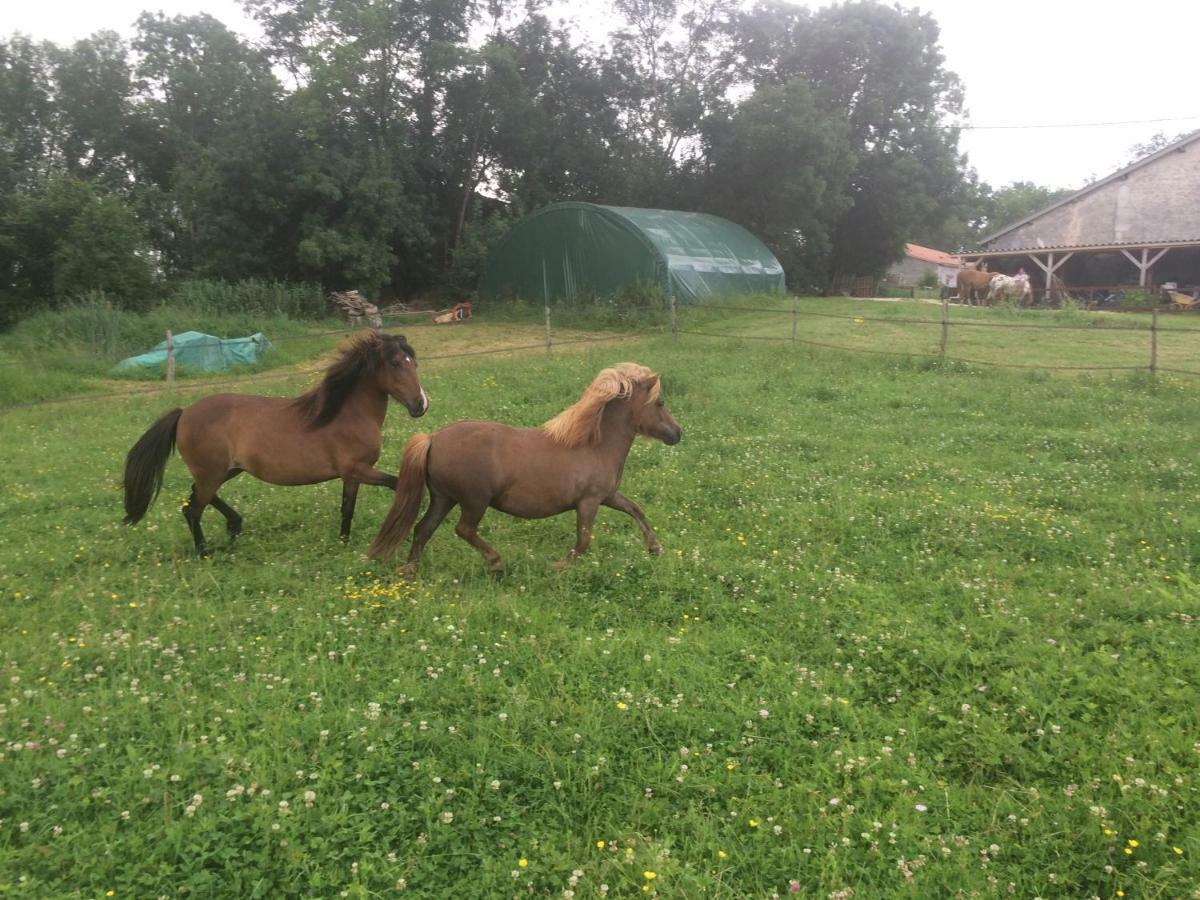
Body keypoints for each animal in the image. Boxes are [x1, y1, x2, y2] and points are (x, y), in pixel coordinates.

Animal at [121, 333, 429, 556]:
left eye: (414, 363)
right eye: (395, 363)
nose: (420, 405)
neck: (346, 412)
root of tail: (184, 413)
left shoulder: (351, 476)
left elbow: (347, 509)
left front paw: (343, 542)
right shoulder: (358, 470)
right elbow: (396, 484)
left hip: (225, 471)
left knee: (194, 498)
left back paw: (234, 526)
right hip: (212, 473)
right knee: (193, 509)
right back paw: (204, 551)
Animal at [364, 362, 686, 578]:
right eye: (660, 402)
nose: (677, 434)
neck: (595, 444)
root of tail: (432, 438)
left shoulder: (607, 496)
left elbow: (636, 510)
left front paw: (655, 548)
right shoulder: (589, 501)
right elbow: (583, 541)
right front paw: (558, 566)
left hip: (444, 498)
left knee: (422, 529)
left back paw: (410, 571)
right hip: (474, 501)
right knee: (463, 529)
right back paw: (495, 562)